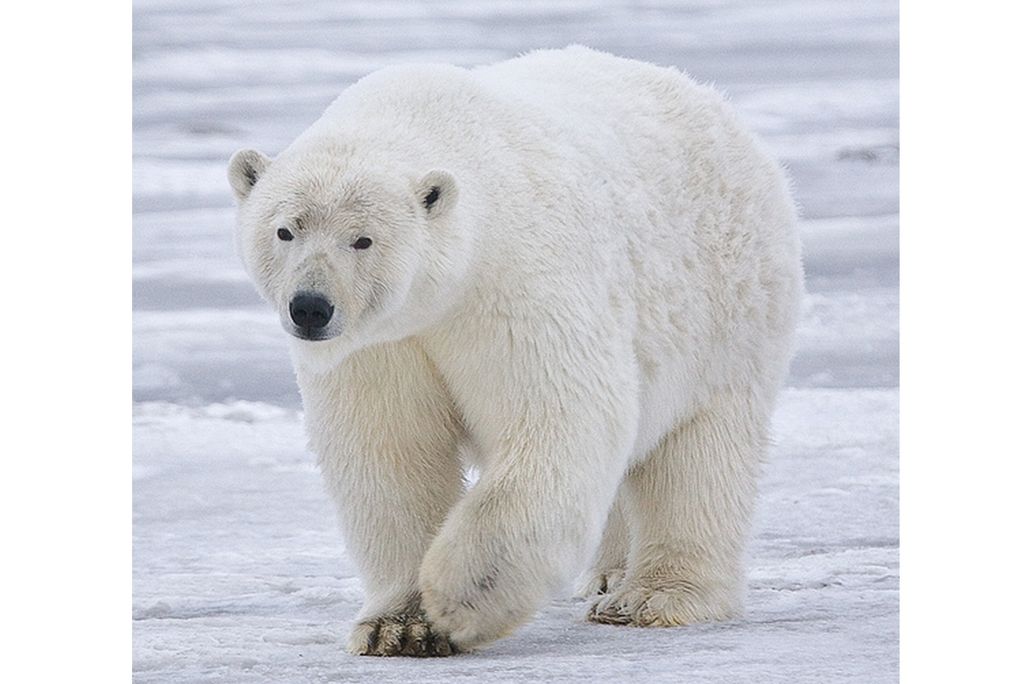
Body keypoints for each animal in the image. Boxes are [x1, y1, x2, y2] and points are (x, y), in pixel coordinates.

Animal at [227, 46, 803, 657]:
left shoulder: (514, 284)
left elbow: (558, 418)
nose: (311, 307)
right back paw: (607, 574)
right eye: (285, 230)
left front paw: (459, 598)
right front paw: (398, 626)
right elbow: (390, 452)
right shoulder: (380, 345)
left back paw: (650, 597)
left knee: (699, 455)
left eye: (363, 239)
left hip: (727, 310)